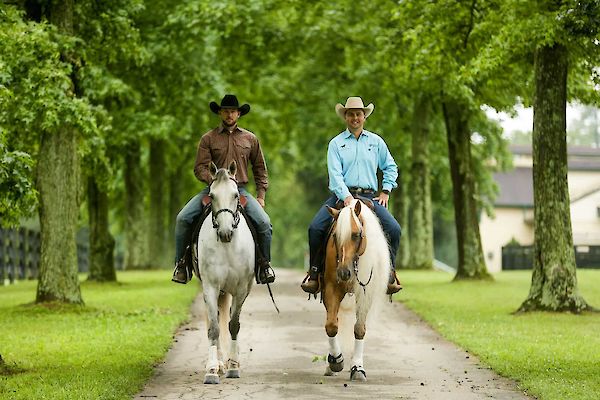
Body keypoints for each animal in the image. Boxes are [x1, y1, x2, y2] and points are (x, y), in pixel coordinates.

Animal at [196, 160, 254, 384]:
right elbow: (214, 328)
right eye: (212, 196)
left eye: (236, 194)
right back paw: (219, 362)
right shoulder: (210, 287)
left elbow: (233, 325)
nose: (225, 232)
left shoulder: (241, 289)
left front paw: (234, 367)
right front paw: (212, 370)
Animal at [324, 199, 390, 382]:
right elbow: (331, 325)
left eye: (356, 235)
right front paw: (336, 361)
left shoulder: (365, 292)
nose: (343, 272)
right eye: (335, 236)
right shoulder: (331, 287)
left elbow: (359, 329)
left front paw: (357, 368)